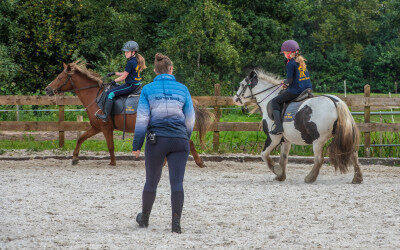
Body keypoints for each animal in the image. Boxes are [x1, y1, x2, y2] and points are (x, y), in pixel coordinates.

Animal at [234, 70, 362, 184]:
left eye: (242, 84)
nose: (235, 99)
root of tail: (335, 102)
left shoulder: (273, 138)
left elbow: (264, 155)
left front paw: (277, 171)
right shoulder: (285, 140)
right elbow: (283, 158)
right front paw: (281, 176)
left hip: (318, 140)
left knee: (319, 159)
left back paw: (310, 178)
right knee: (353, 155)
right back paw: (357, 178)